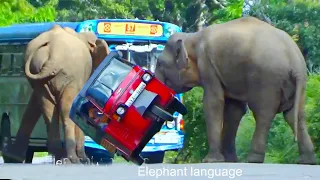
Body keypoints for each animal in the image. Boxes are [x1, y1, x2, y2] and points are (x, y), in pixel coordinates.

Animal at [1, 24, 110, 164]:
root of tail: (53, 55)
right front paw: (85, 160)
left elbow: (33, 107)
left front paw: (14, 157)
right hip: (69, 75)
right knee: (66, 109)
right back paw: (72, 160)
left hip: (38, 72)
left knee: (47, 108)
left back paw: (60, 158)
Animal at [154, 16, 318, 165]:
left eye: (160, 64)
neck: (192, 37)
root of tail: (295, 61)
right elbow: (235, 109)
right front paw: (230, 160)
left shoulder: (207, 66)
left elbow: (213, 103)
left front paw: (211, 161)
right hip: (297, 84)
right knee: (294, 115)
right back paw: (307, 161)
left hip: (266, 79)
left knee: (263, 114)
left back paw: (253, 159)